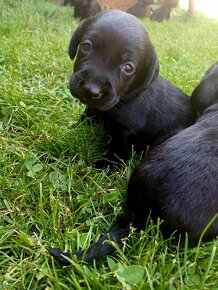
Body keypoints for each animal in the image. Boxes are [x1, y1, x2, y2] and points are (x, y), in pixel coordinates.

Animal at [67, 9, 194, 165]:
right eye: (86, 46)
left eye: (128, 68)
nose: (91, 90)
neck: (125, 98)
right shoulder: (94, 110)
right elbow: (87, 117)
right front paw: (74, 129)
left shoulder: (125, 133)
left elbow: (115, 154)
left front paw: (101, 166)